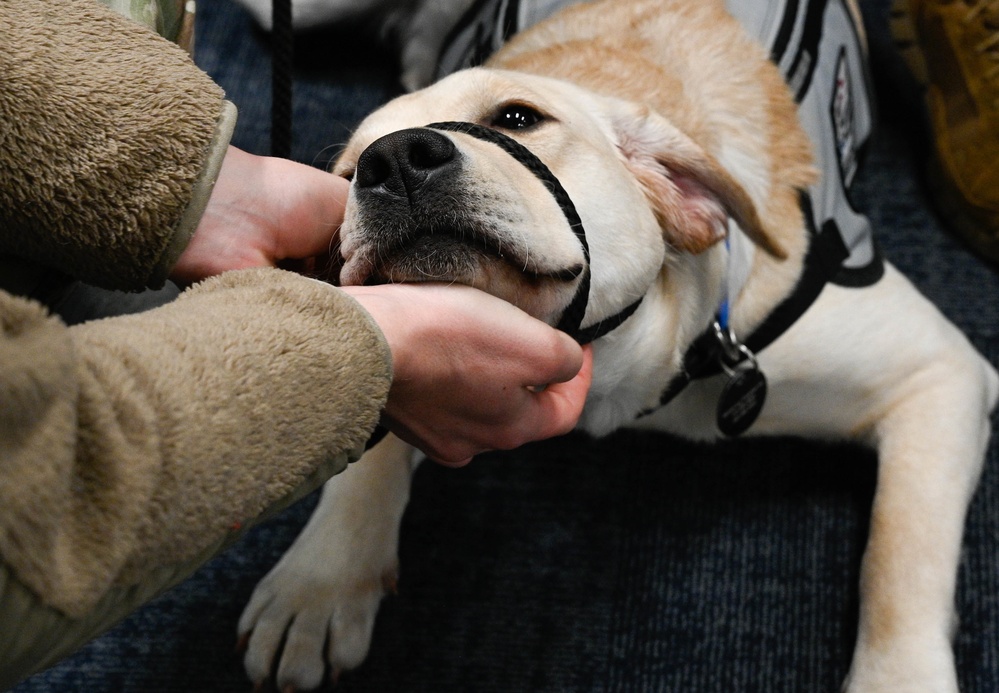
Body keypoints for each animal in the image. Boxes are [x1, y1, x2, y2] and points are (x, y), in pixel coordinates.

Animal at [238, 2, 996, 688]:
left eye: (518, 118)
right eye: (344, 177)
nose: (392, 161)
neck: (627, 365)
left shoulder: (940, 371)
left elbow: (898, 556)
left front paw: (899, 678)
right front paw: (323, 577)